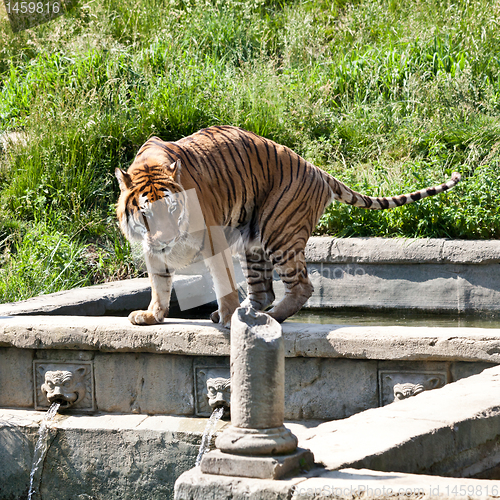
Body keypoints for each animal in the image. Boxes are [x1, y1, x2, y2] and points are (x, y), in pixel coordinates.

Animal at [114, 125, 460, 328]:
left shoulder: (213, 238)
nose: (166, 239)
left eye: (173, 210)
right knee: (263, 291)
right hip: (251, 243)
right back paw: (250, 313)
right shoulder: (151, 249)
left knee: (301, 287)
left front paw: (226, 319)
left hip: (278, 232)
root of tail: (318, 169)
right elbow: (159, 284)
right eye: (146, 213)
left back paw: (266, 317)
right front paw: (152, 315)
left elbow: (222, 284)